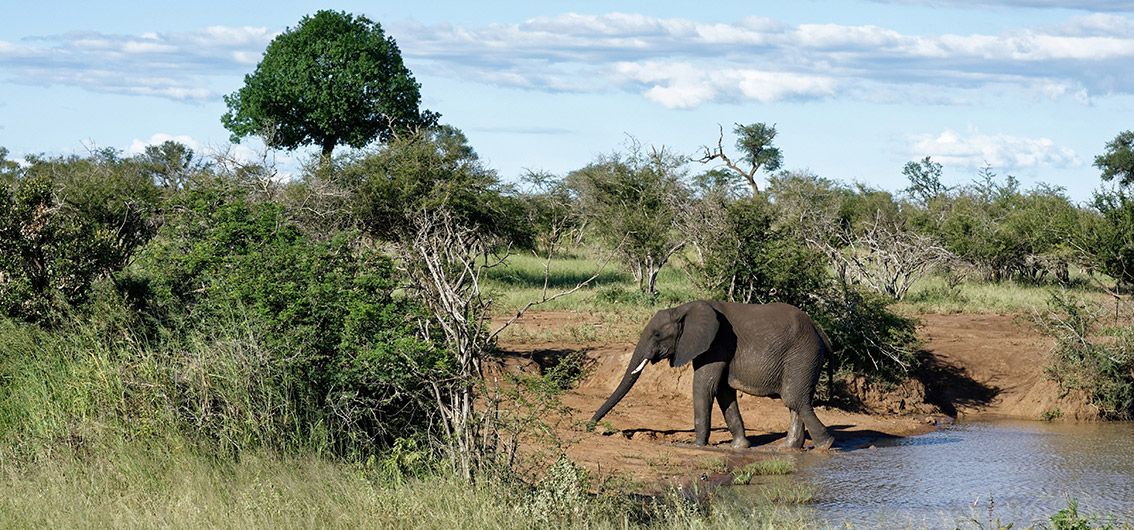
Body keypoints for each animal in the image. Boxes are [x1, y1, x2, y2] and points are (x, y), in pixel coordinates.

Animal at [589, 300, 835, 450]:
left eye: (657, 334)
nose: (590, 427)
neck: (683, 309)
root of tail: (819, 330)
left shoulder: (716, 344)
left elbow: (704, 387)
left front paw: (695, 446)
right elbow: (724, 392)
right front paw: (739, 447)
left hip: (802, 355)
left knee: (794, 399)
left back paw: (826, 445)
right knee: (795, 401)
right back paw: (789, 448)